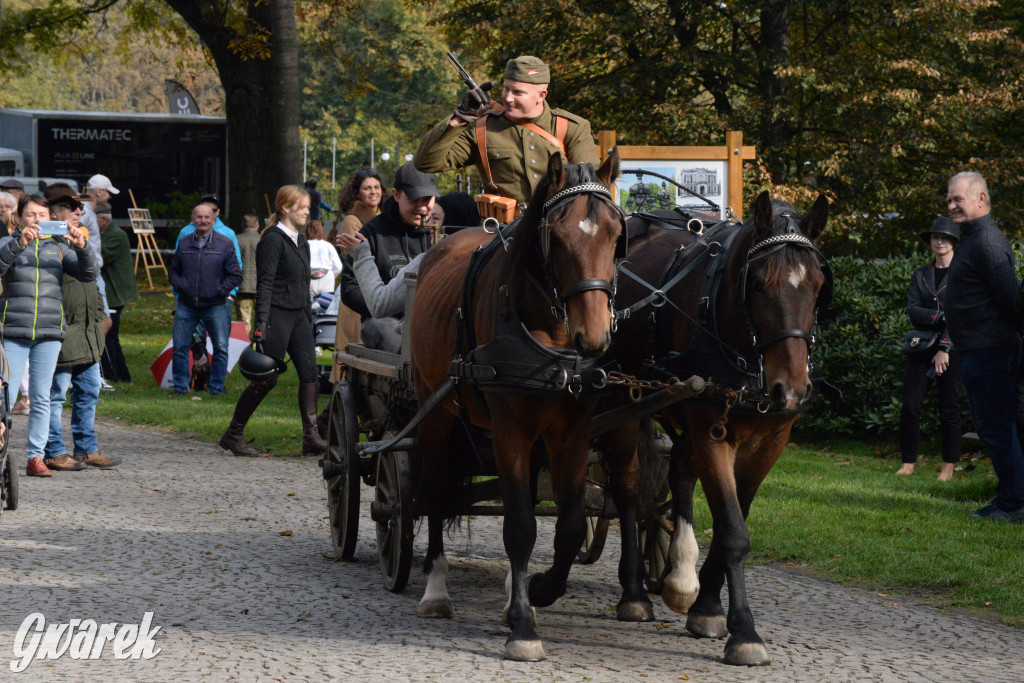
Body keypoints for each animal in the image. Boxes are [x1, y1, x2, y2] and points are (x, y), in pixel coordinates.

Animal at [407, 150, 622, 663]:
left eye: (615, 234)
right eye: (557, 238)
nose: (594, 337)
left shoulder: (570, 436)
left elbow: (566, 525)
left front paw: (536, 592)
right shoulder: (509, 432)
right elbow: (521, 526)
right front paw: (523, 627)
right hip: (435, 413)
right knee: (436, 490)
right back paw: (436, 589)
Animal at [606, 189, 831, 663]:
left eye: (819, 286)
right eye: (758, 283)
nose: (791, 390)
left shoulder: (770, 441)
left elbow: (736, 519)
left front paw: (706, 605)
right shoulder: (713, 429)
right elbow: (732, 533)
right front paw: (743, 631)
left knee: (678, 471)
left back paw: (679, 575)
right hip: (622, 400)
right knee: (628, 490)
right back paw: (634, 593)